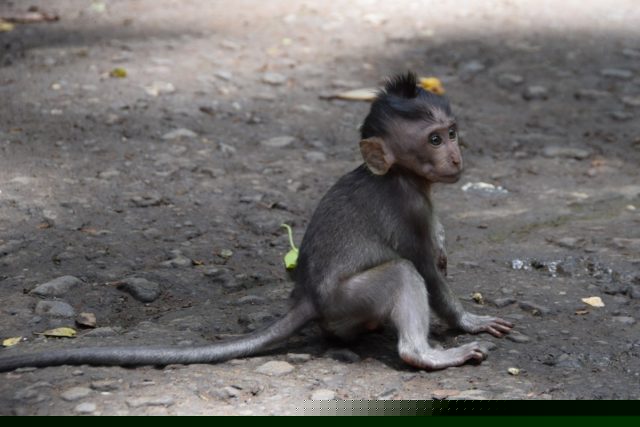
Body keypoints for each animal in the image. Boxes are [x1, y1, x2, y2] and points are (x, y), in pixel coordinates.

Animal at [0, 72, 512, 373]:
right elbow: (425, 269)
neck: (402, 176)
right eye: (433, 139)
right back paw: (423, 355)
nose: (455, 157)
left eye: (452, 133)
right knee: (402, 275)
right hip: (346, 300)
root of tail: (306, 298)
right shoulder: (409, 208)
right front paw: (467, 321)